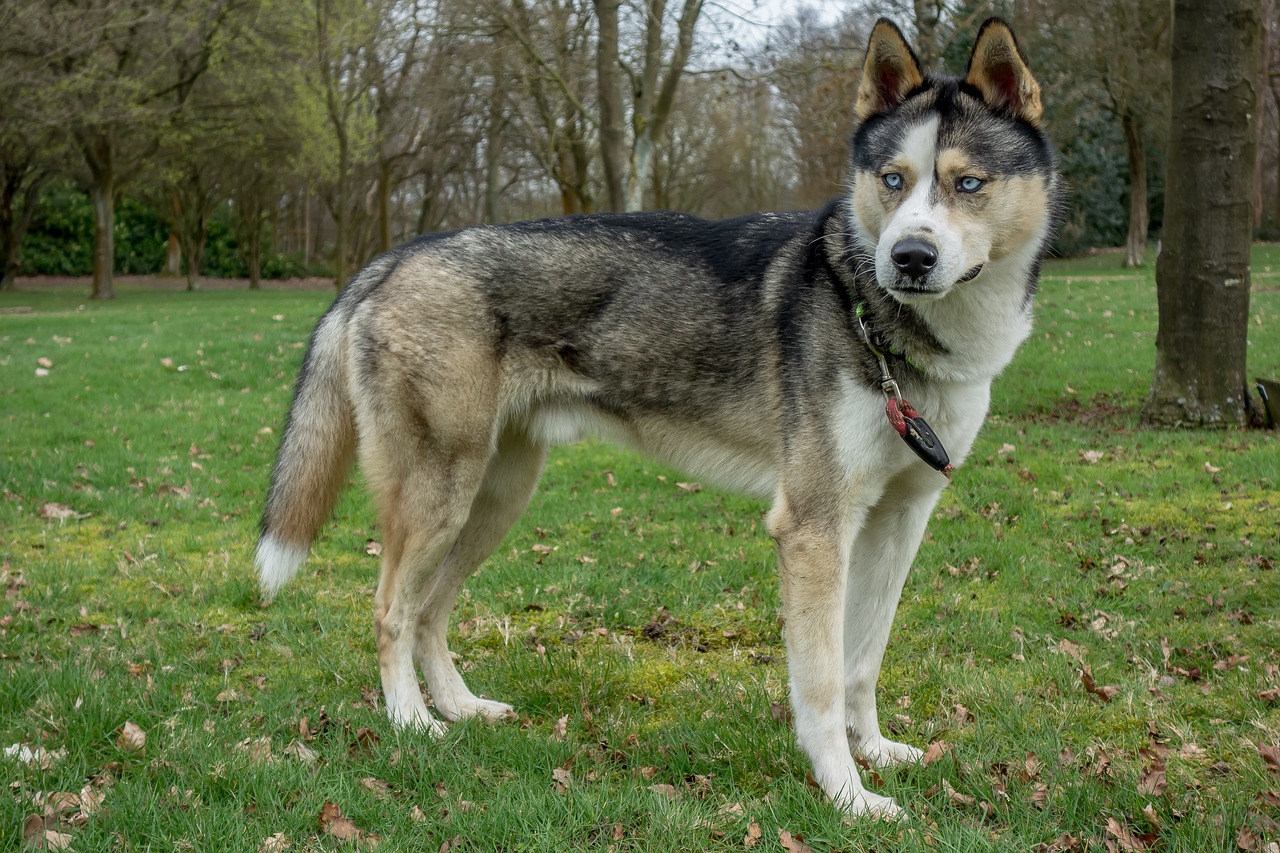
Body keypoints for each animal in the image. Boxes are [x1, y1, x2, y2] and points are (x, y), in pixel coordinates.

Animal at [254, 19, 1064, 814]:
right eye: (893, 180)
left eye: (967, 184)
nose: (909, 256)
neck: (877, 315)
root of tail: (392, 259)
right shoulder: (814, 528)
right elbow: (822, 682)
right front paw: (846, 794)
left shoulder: (899, 520)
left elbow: (863, 661)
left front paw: (876, 753)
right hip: (440, 499)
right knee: (390, 609)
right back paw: (411, 723)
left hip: (495, 499)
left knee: (428, 610)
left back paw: (459, 707)